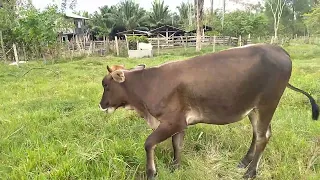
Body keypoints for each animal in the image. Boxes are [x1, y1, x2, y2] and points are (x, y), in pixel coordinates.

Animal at [99, 44, 318, 180]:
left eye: (106, 86)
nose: (101, 104)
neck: (148, 86)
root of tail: (278, 48)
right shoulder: (180, 122)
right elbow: (177, 144)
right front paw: (175, 167)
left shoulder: (171, 122)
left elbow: (149, 143)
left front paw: (151, 172)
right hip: (255, 108)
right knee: (259, 134)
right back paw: (244, 162)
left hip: (267, 104)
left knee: (262, 138)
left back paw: (250, 172)